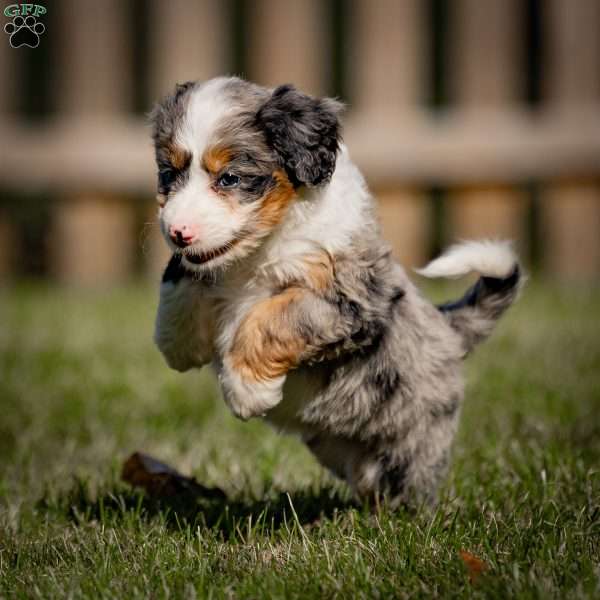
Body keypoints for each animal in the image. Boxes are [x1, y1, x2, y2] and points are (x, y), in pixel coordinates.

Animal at [150, 76, 520, 506]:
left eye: (230, 178)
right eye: (168, 173)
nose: (178, 232)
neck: (261, 248)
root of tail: (448, 328)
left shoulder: (350, 300)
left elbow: (270, 319)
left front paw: (245, 391)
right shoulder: (199, 266)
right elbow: (180, 277)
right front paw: (179, 344)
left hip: (413, 441)